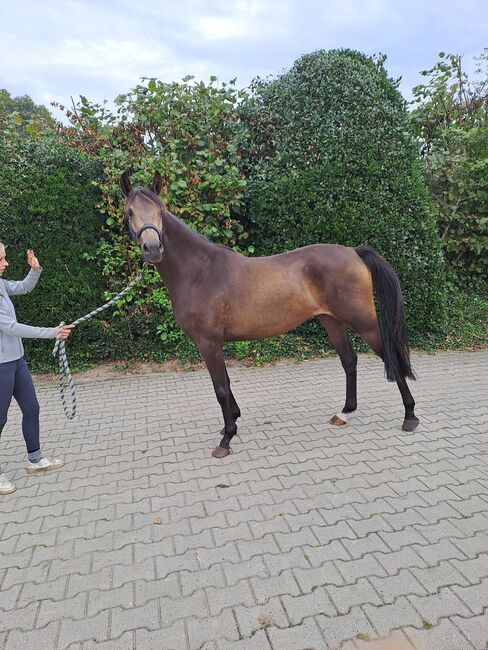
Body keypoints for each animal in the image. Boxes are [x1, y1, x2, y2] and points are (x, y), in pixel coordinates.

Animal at [120, 170, 418, 458]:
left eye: (160, 210)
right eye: (129, 213)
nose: (153, 249)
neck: (199, 272)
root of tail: (354, 252)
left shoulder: (208, 343)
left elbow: (220, 389)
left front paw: (226, 439)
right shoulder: (215, 344)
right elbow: (227, 383)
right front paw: (232, 423)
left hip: (363, 322)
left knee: (391, 356)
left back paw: (410, 416)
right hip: (331, 321)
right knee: (349, 361)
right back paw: (344, 413)